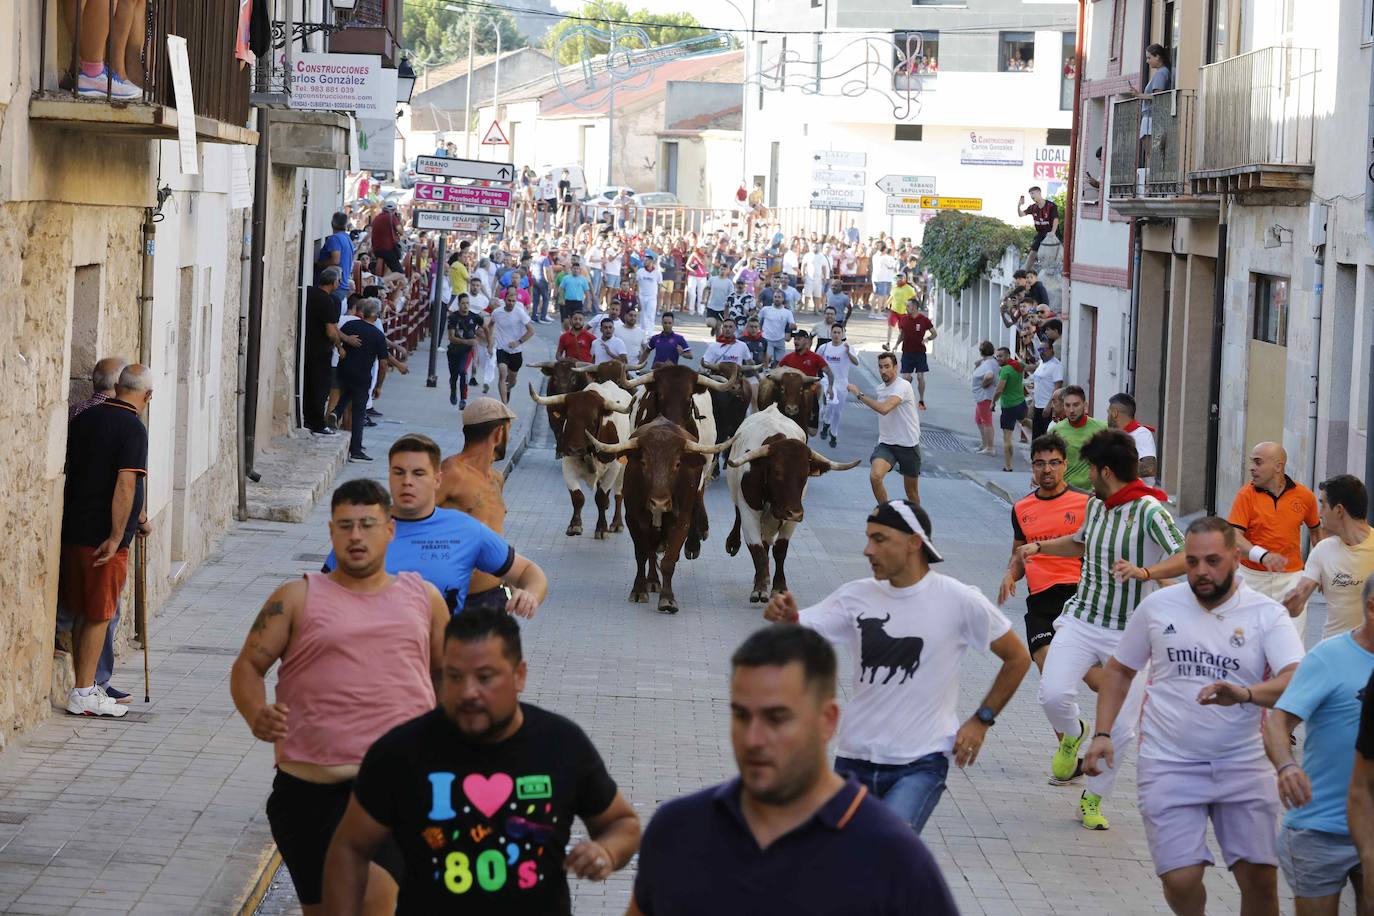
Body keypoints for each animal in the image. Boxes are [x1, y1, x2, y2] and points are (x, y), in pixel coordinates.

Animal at [593, 422, 741, 615]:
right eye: (644, 463)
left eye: (677, 464)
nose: (659, 503)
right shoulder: (633, 520)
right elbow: (641, 555)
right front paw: (639, 590)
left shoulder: (681, 523)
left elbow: (669, 561)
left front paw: (667, 599)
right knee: (650, 551)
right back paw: (652, 581)